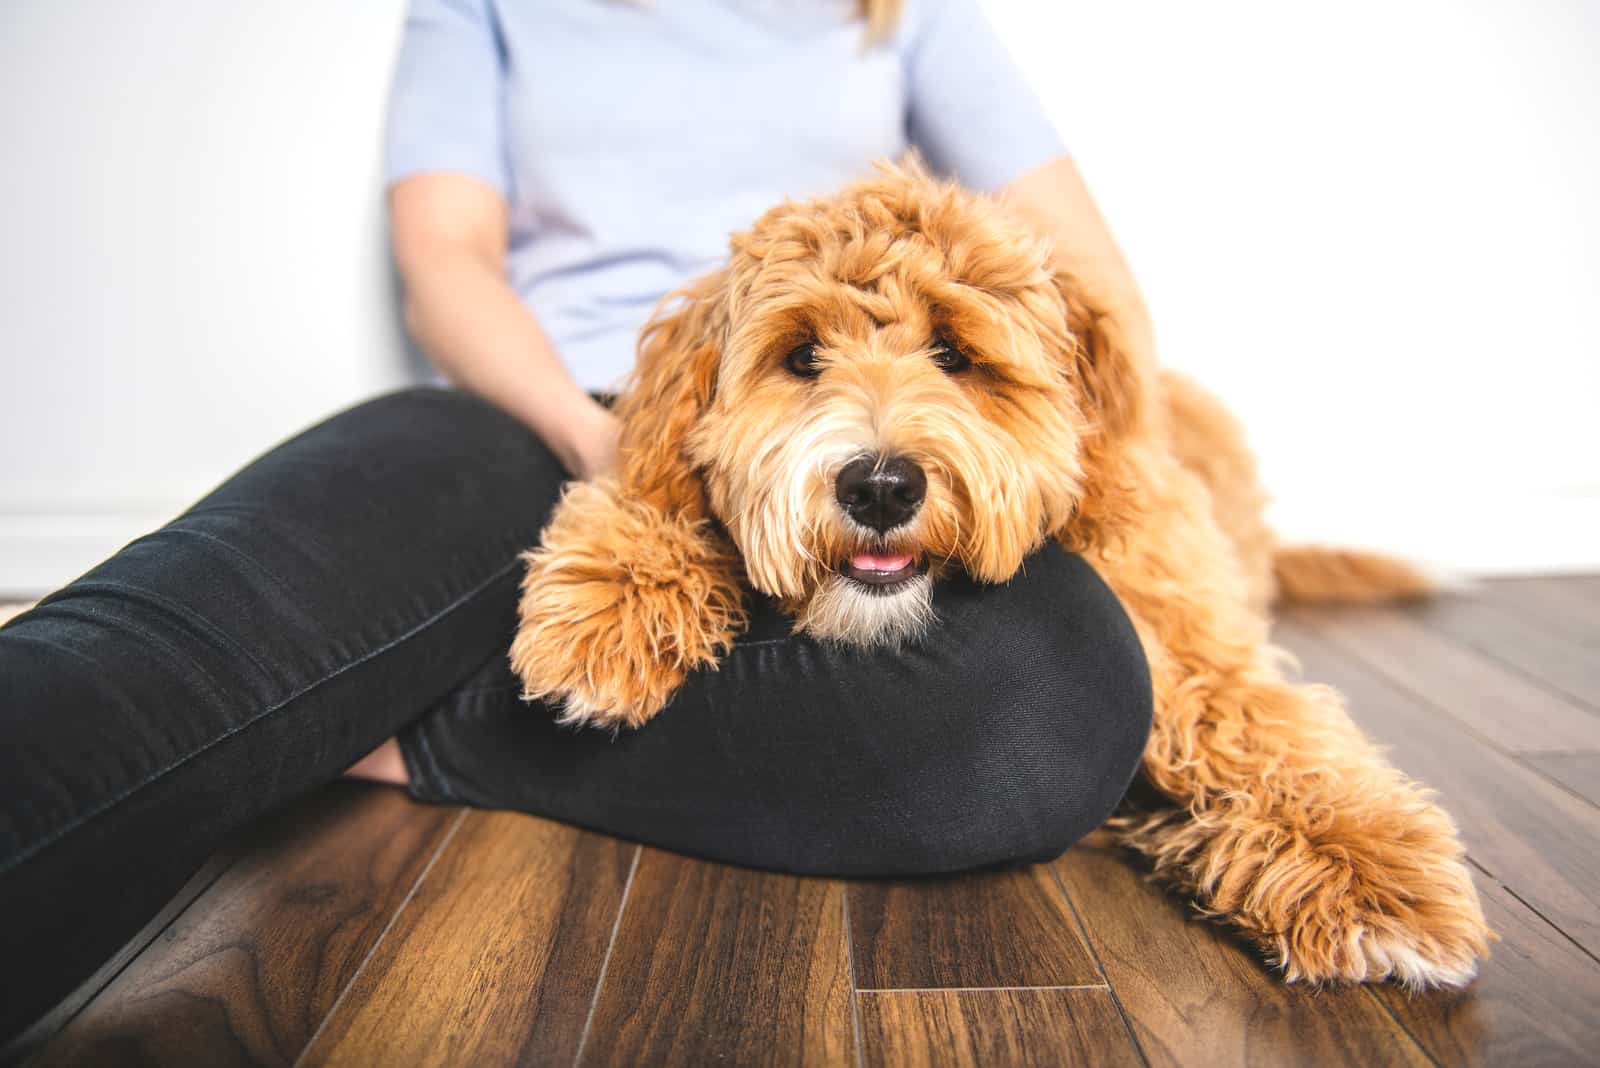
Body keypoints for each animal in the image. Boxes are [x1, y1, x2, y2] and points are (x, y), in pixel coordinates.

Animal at [508, 163, 1484, 991]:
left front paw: (1368, 877)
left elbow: (1266, 731)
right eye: (802, 357)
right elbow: (660, 498)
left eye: (953, 353)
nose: (879, 485)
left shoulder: (1185, 624)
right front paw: (607, 608)